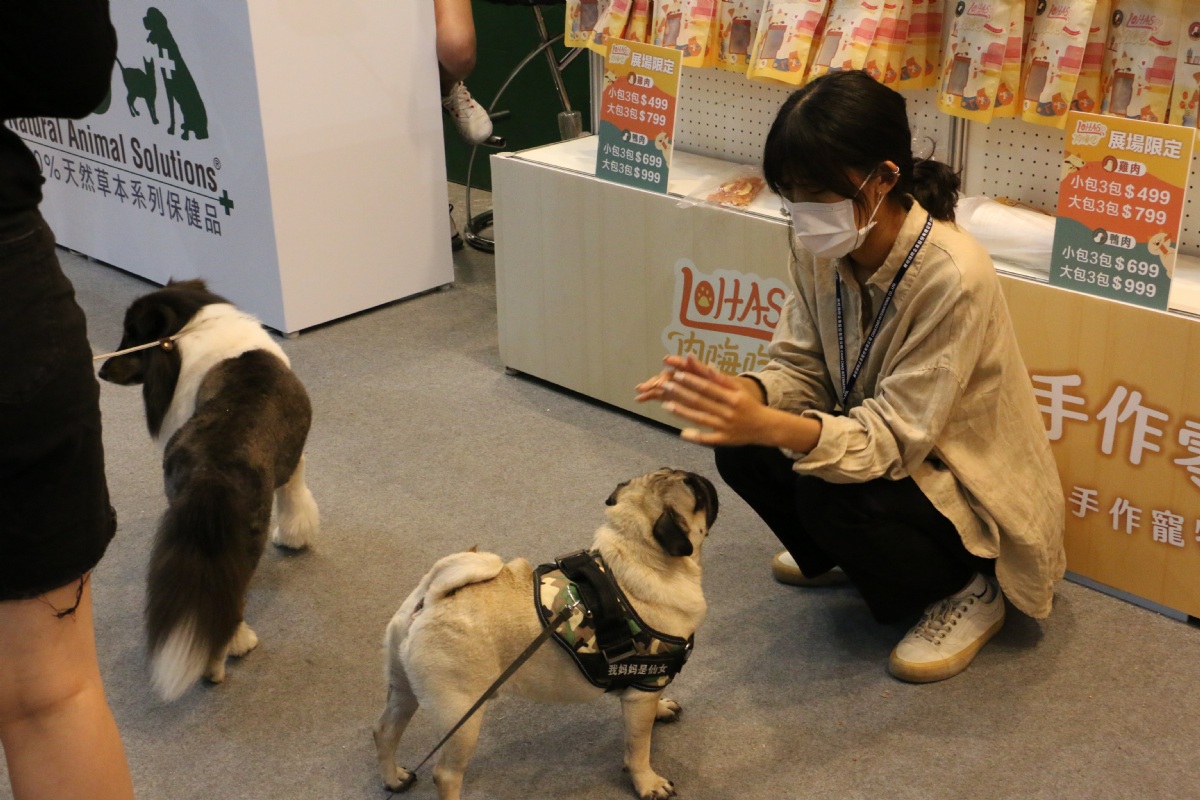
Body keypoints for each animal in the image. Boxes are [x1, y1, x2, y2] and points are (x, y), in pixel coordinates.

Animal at [98, 279, 318, 701]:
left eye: (133, 335)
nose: (100, 369)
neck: (191, 323)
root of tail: (211, 472)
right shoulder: (294, 463)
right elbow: (297, 500)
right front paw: (294, 538)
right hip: (245, 540)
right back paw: (231, 653)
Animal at [372, 468, 718, 800]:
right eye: (696, 494)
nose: (702, 477)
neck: (636, 559)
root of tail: (430, 599)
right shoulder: (643, 687)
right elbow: (639, 747)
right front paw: (648, 782)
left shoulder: (647, 687)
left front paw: (663, 709)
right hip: (462, 715)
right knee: (445, 774)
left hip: (403, 688)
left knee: (384, 732)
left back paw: (394, 778)